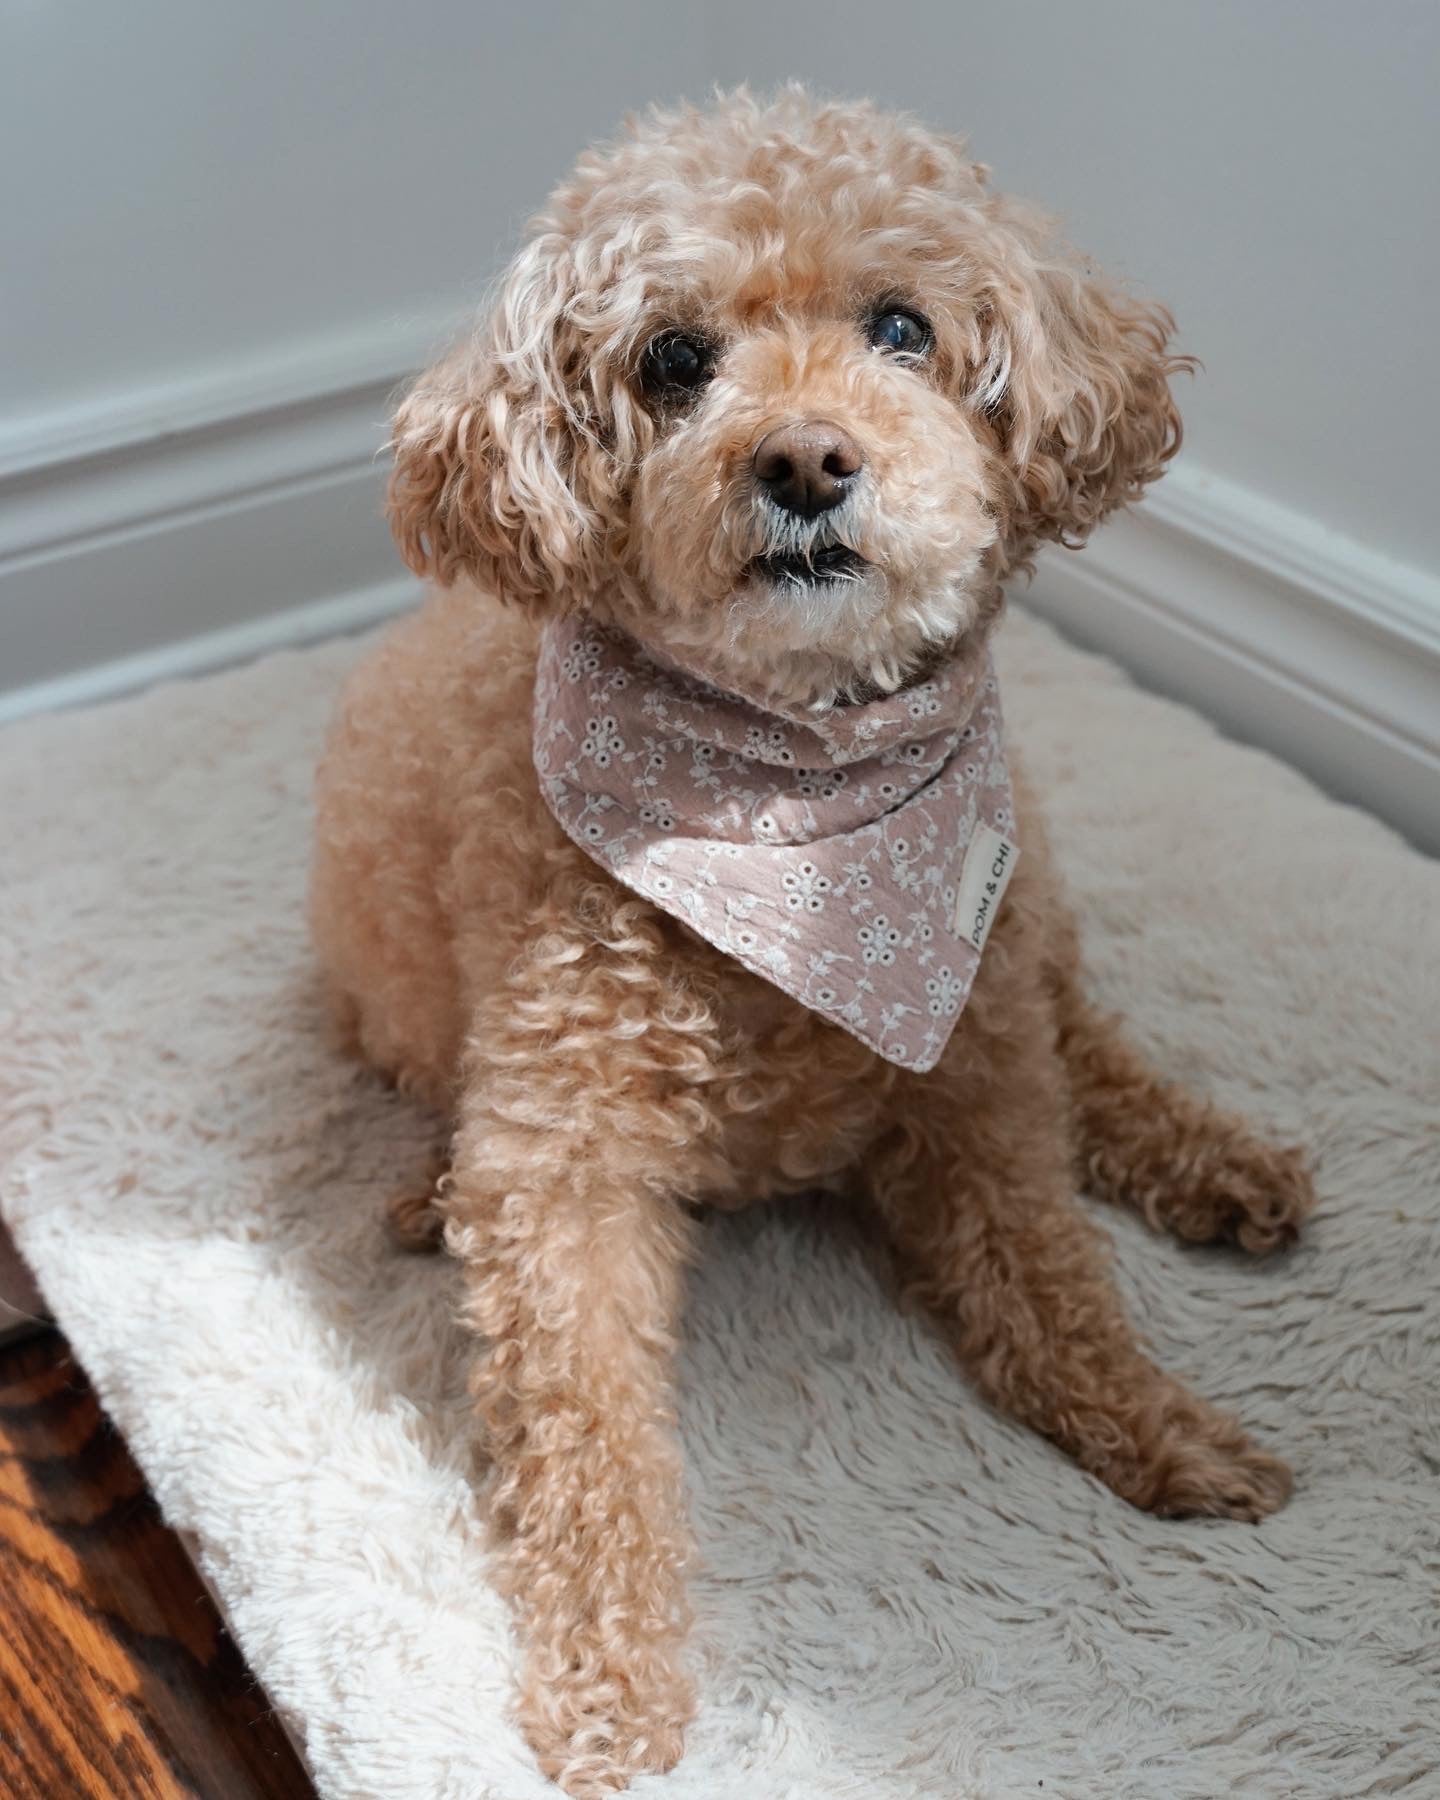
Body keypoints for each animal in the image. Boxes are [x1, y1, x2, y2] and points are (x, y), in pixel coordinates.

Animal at [311, 87, 1317, 1800]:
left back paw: (1224, 1165)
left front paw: (1162, 1428)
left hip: (1018, 909)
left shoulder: (971, 1069)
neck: (793, 810)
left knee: (1083, 1029)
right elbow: (587, 1446)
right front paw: (611, 1687)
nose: (805, 460)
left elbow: (1054, 1276)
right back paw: (419, 1194)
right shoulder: (564, 1175)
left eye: (902, 328)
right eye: (671, 359)